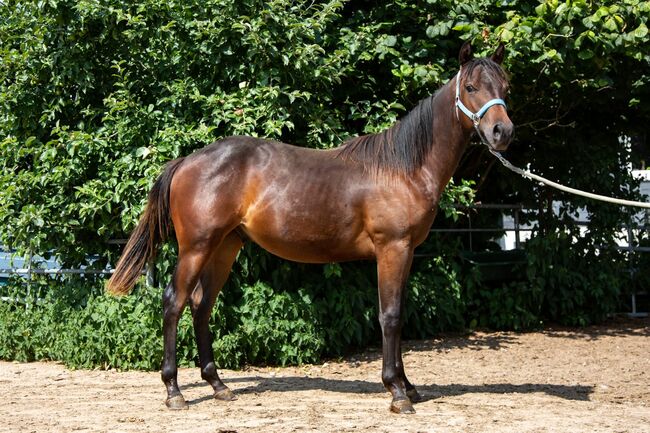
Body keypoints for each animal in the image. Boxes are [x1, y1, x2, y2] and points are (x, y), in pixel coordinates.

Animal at [106, 42, 512, 414]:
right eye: (471, 87)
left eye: (505, 86)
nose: (501, 131)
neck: (402, 167)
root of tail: (187, 161)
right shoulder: (392, 248)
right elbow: (391, 316)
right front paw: (397, 392)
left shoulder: (407, 251)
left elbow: (397, 314)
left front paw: (407, 387)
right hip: (196, 247)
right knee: (174, 302)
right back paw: (174, 391)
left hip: (224, 247)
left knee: (201, 304)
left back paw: (219, 385)